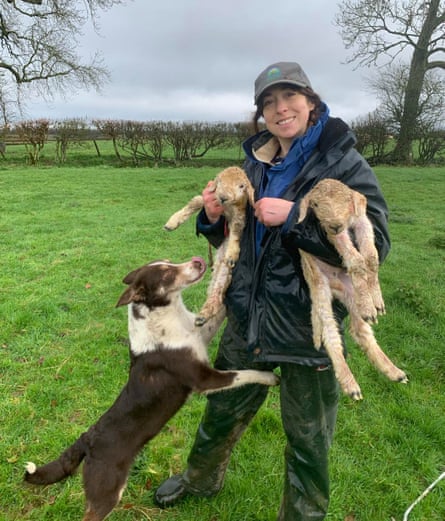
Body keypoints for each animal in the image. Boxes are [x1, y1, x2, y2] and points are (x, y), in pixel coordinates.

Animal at [25, 258, 278, 516]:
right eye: (166, 274)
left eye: (169, 262)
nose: (198, 260)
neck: (167, 317)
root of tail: (86, 440)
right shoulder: (204, 379)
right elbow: (243, 373)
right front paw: (269, 376)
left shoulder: (200, 334)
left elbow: (219, 313)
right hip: (106, 492)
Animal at [163, 168, 253, 324]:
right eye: (220, 181)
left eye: (242, 186)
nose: (223, 198)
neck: (226, 207)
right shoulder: (210, 200)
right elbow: (195, 202)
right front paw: (172, 222)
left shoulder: (239, 214)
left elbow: (236, 231)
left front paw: (232, 254)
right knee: (215, 290)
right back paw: (202, 317)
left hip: (226, 271)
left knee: (219, 290)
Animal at [298, 177, 406, 400]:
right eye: (315, 205)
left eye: (346, 201)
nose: (335, 224)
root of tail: (336, 286)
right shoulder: (330, 233)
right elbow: (356, 260)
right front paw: (372, 301)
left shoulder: (363, 219)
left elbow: (371, 257)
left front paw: (377, 300)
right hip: (319, 290)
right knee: (330, 333)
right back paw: (350, 384)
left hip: (350, 293)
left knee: (360, 330)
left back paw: (393, 371)